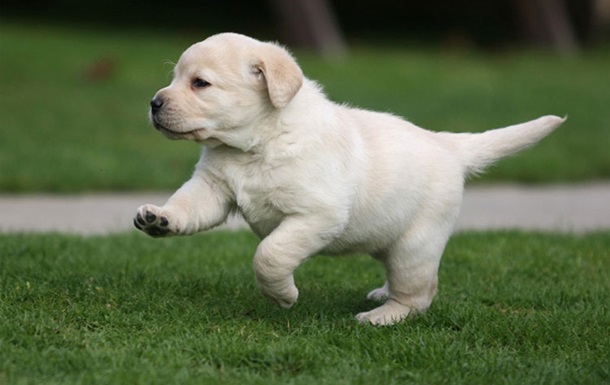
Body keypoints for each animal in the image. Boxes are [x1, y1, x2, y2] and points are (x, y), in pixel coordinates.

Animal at [135, 34, 564, 326]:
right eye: (175, 77)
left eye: (200, 83)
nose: (154, 103)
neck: (257, 142)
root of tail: (447, 145)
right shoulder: (213, 187)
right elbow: (187, 205)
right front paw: (159, 218)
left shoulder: (316, 215)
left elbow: (270, 254)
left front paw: (283, 296)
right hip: (390, 238)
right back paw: (382, 294)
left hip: (416, 244)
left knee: (419, 294)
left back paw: (382, 315)